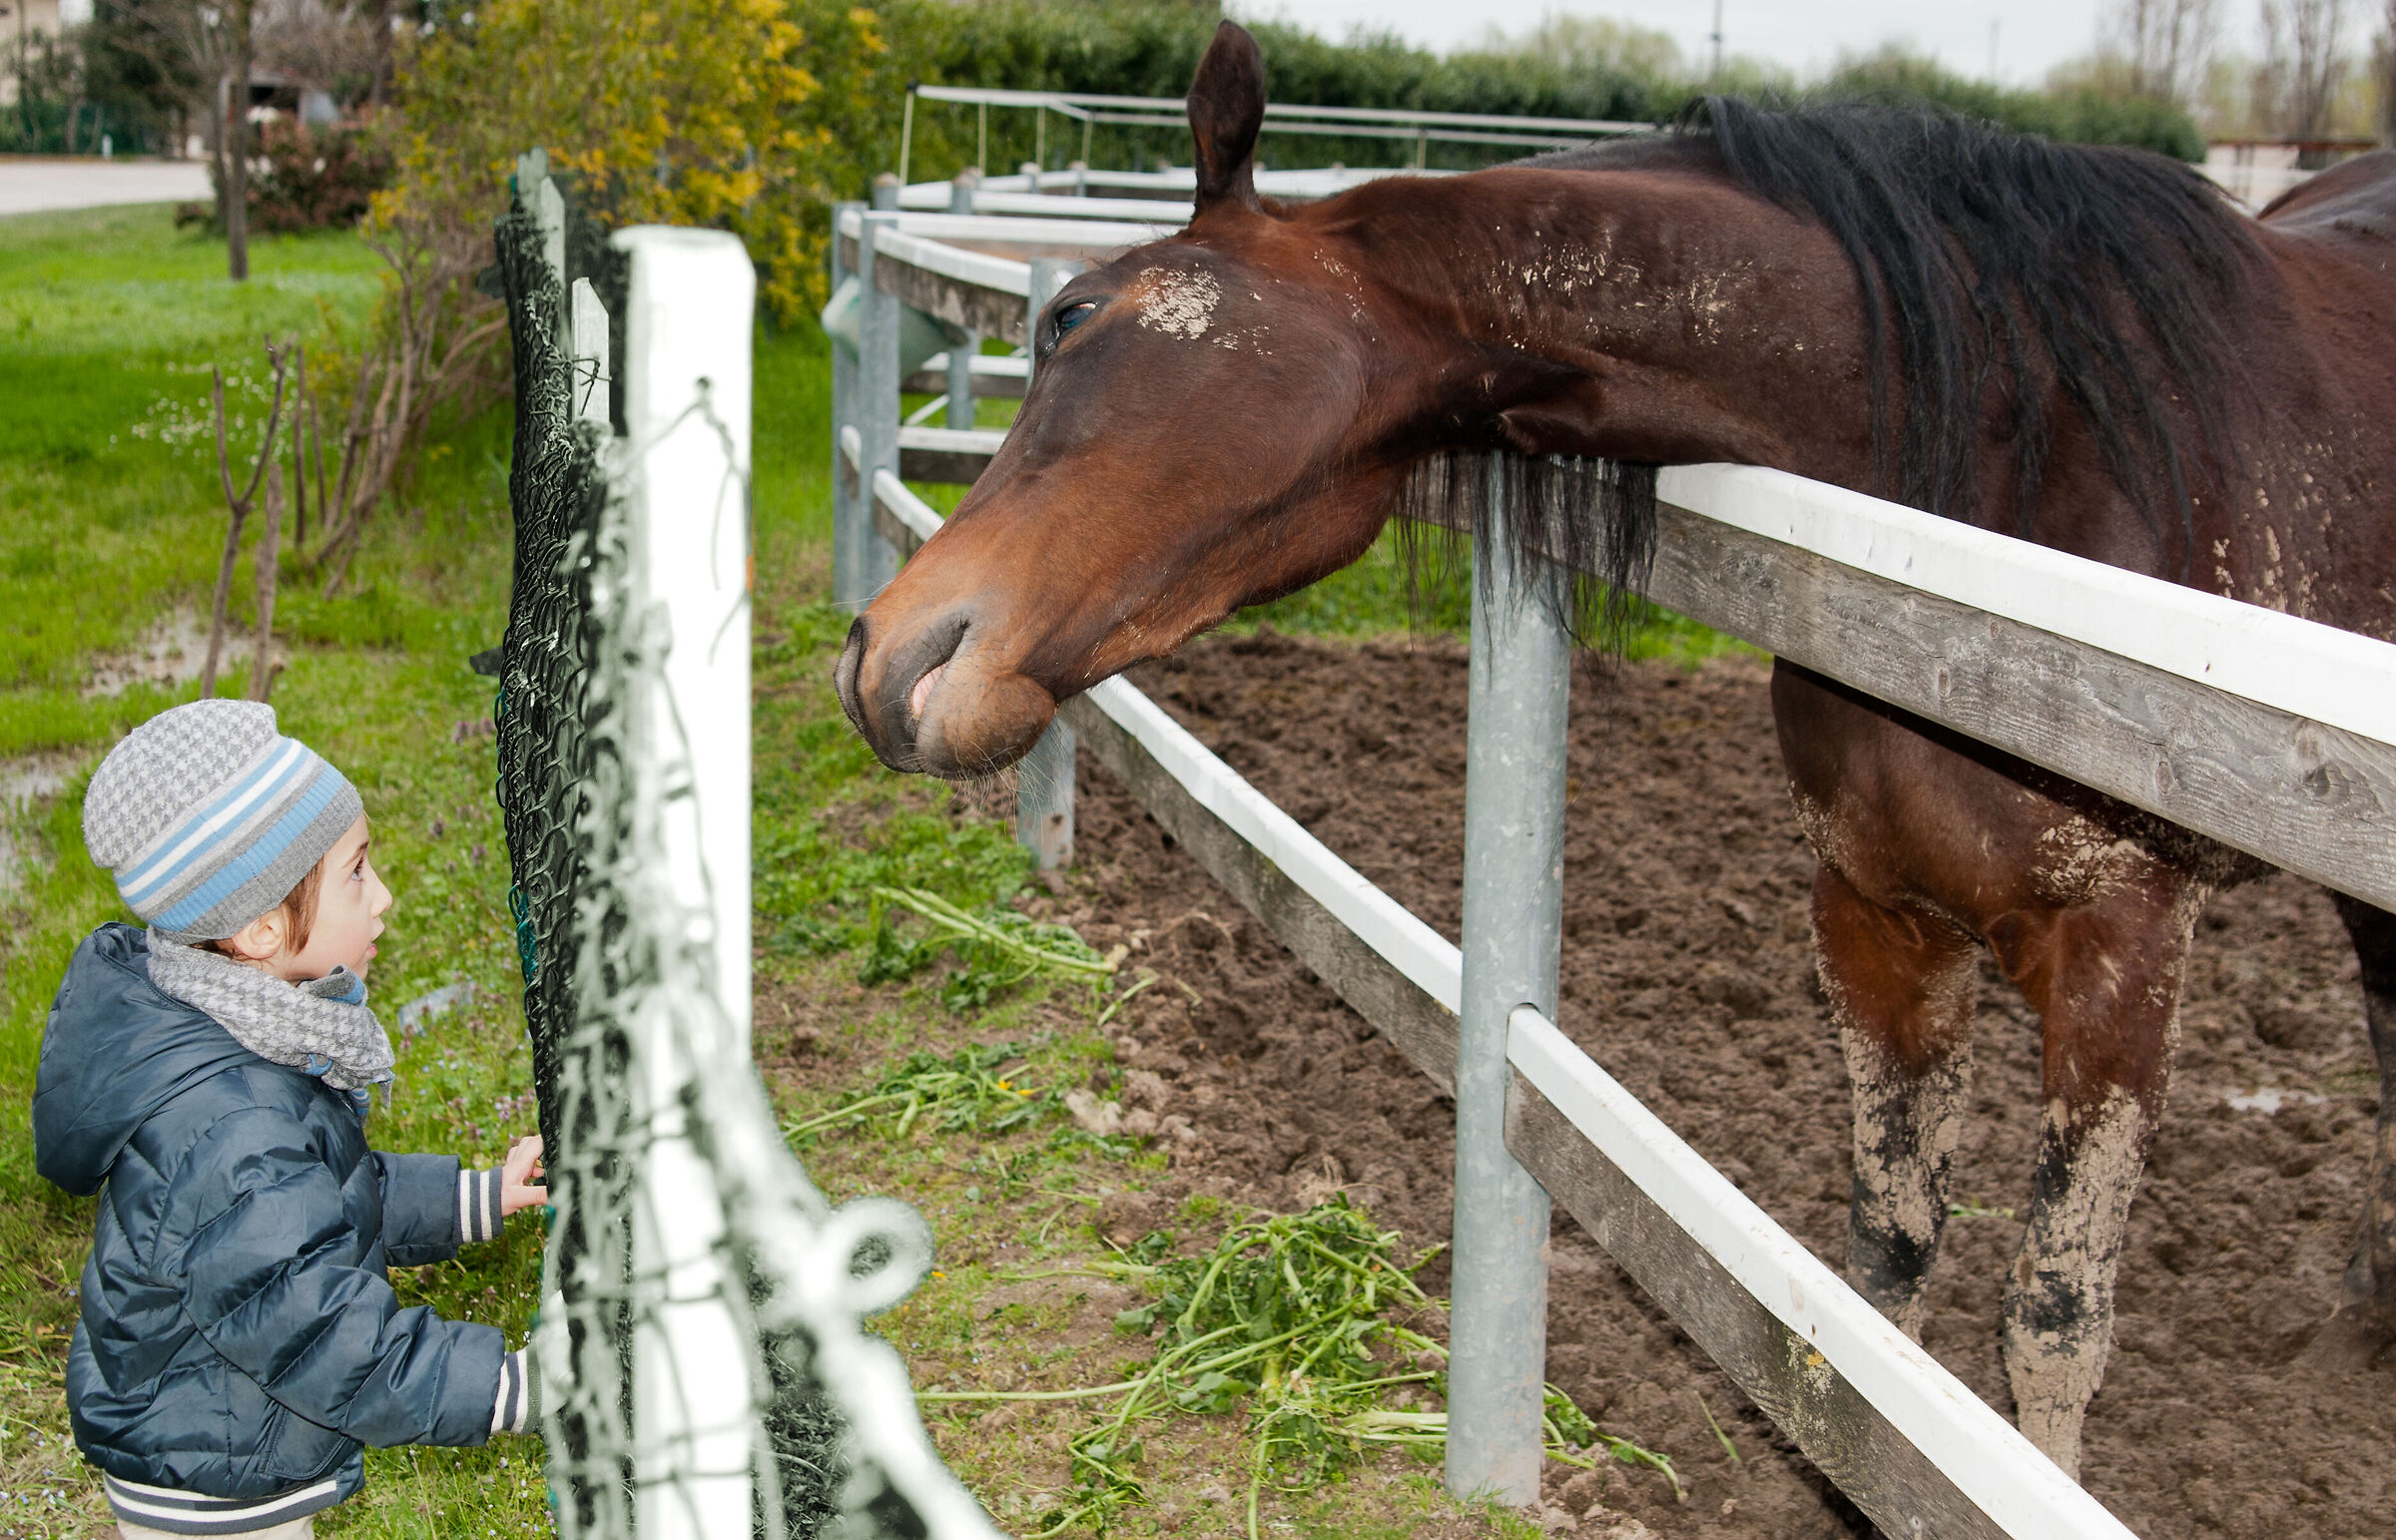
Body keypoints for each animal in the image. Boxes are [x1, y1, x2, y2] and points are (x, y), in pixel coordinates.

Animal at [835, 22, 2396, 1477]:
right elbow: (1883, 1267)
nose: (890, 658)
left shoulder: (2119, 949)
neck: (1997, 497)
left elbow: (2053, 1319)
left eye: (1076, 316)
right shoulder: (1872, 911)